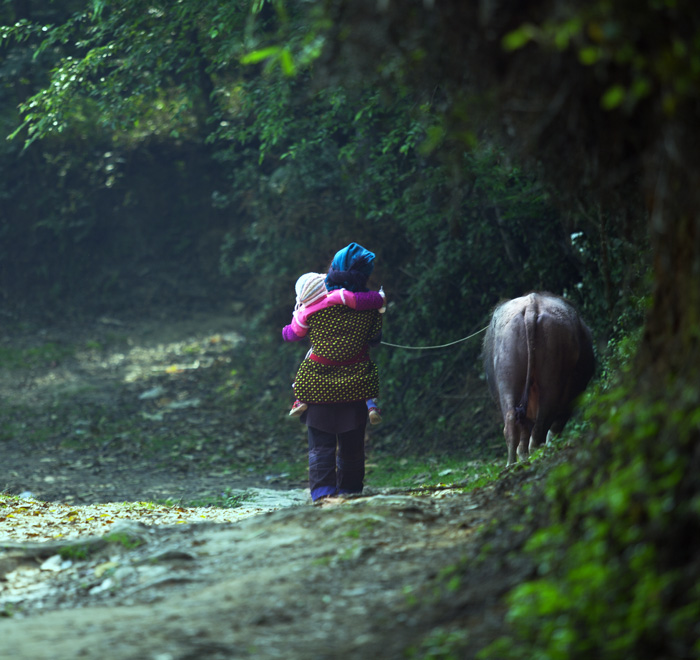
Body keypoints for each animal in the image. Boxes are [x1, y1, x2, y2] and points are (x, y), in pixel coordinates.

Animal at [482, 292, 596, 466]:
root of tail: (532, 306)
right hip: (552, 380)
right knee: (540, 426)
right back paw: (537, 455)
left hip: (507, 376)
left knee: (512, 421)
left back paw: (512, 463)